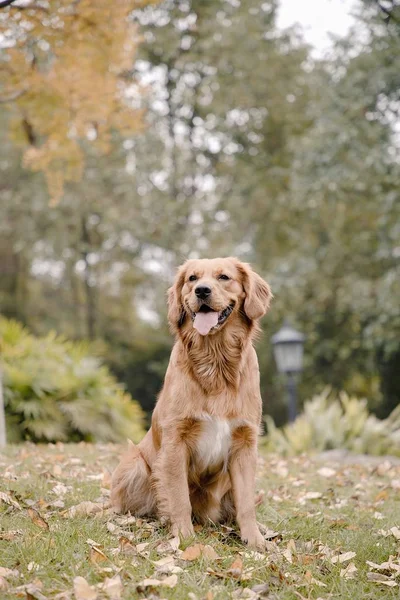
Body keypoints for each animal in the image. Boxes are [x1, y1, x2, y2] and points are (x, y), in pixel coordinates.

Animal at [110, 256, 272, 548]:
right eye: (192, 279)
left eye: (223, 277)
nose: (202, 291)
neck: (215, 361)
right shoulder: (176, 440)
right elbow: (179, 498)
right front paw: (183, 537)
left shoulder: (245, 443)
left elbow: (246, 503)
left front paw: (254, 539)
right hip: (135, 465)